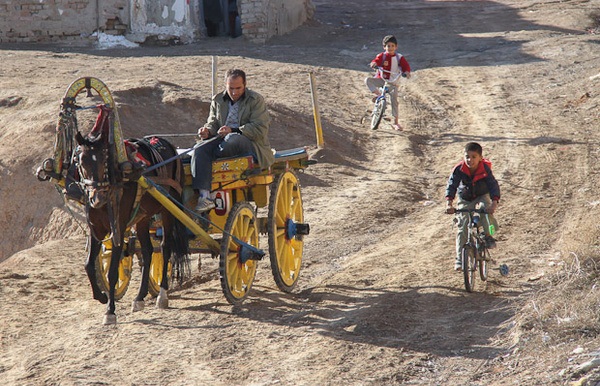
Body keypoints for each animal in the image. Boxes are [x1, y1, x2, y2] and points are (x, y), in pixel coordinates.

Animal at [74, 130, 189, 326]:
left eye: (104, 160)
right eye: (81, 161)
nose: (96, 199)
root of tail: (168, 144)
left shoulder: (118, 228)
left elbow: (113, 272)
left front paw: (110, 311)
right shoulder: (96, 229)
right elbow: (88, 265)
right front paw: (101, 296)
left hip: (168, 208)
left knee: (165, 248)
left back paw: (162, 295)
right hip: (143, 217)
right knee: (148, 251)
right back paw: (140, 298)